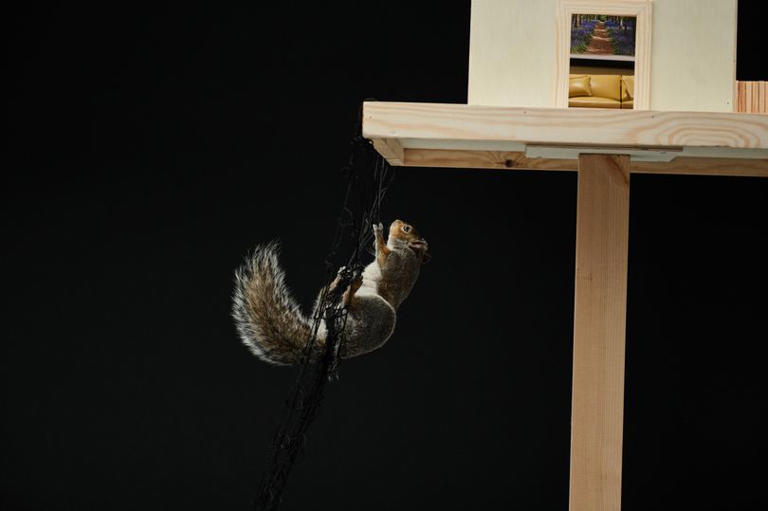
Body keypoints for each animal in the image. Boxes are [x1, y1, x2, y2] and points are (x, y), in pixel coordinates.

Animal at [232, 219, 430, 365]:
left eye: (406, 229)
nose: (396, 221)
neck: (409, 252)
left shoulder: (398, 264)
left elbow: (384, 259)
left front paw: (379, 234)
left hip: (377, 311)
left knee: (348, 302)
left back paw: (351, 288)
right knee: (327, 300)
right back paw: (337, 282)